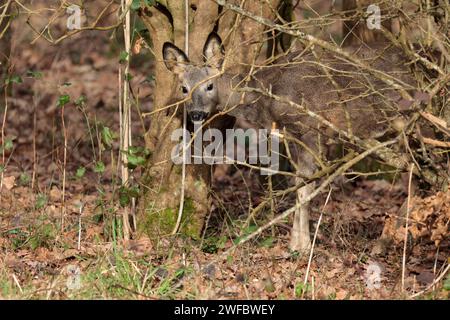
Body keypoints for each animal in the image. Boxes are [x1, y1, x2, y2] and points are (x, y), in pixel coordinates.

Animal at [162, 32, 414, 252]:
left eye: (209, 85)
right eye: (184, 88)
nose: (196, 114)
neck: (265, 97)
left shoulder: (311, 129)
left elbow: (305, 188)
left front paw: (301, 246)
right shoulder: (292, 137)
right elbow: (300, 184)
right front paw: (298, 242)